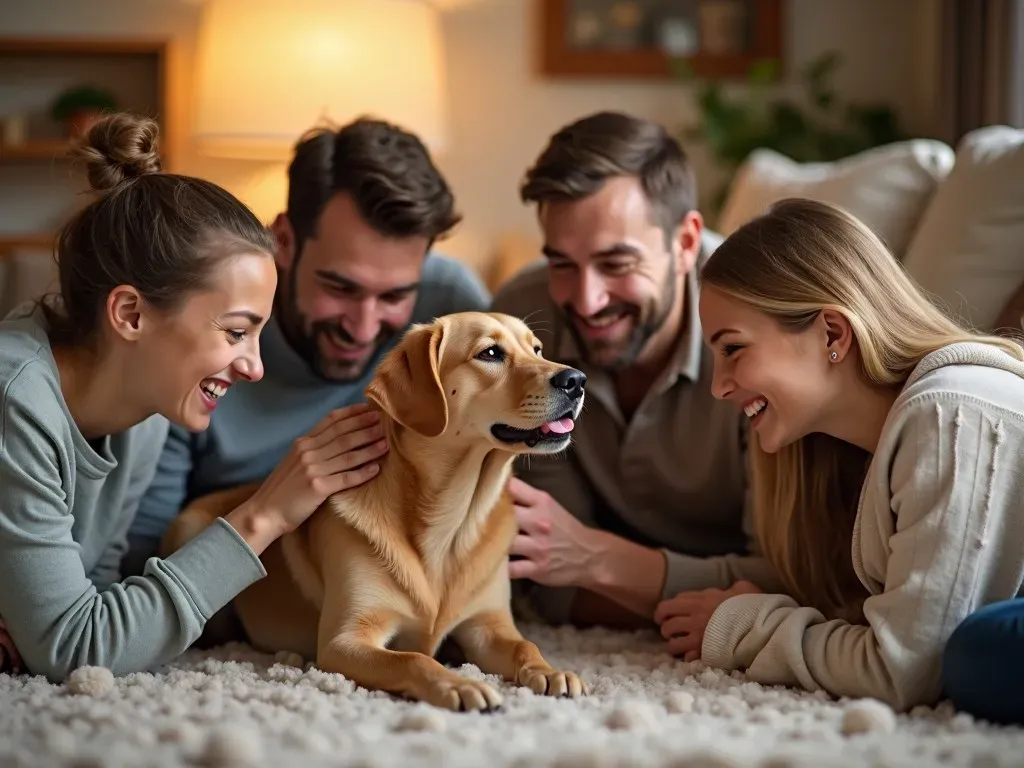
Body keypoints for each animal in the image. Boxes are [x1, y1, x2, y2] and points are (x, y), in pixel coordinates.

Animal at [162, 309, 589, 712]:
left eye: (537, 350)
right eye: (490, 353)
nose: (576, 380)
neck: (453, 518)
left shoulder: (489, 626)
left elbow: (526, 646)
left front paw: (551, 671)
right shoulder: (346, 638)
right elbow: (413, 659)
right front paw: (459, 684)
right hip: (189, 527)